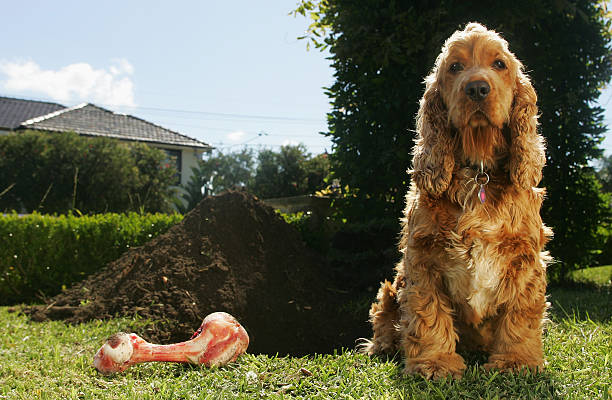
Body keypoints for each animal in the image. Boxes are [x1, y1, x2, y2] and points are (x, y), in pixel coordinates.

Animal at [360, 22, 552, 382]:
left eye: (499, 64)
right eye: (454, 67)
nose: (476, 88)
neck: (479, 173)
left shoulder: (526, 259)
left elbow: (521, 315)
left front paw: (516, 362)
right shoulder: (423, 259)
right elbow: (427, 314)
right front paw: (435, 364)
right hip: (391, 287)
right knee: (384, 314)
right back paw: (384, 345)